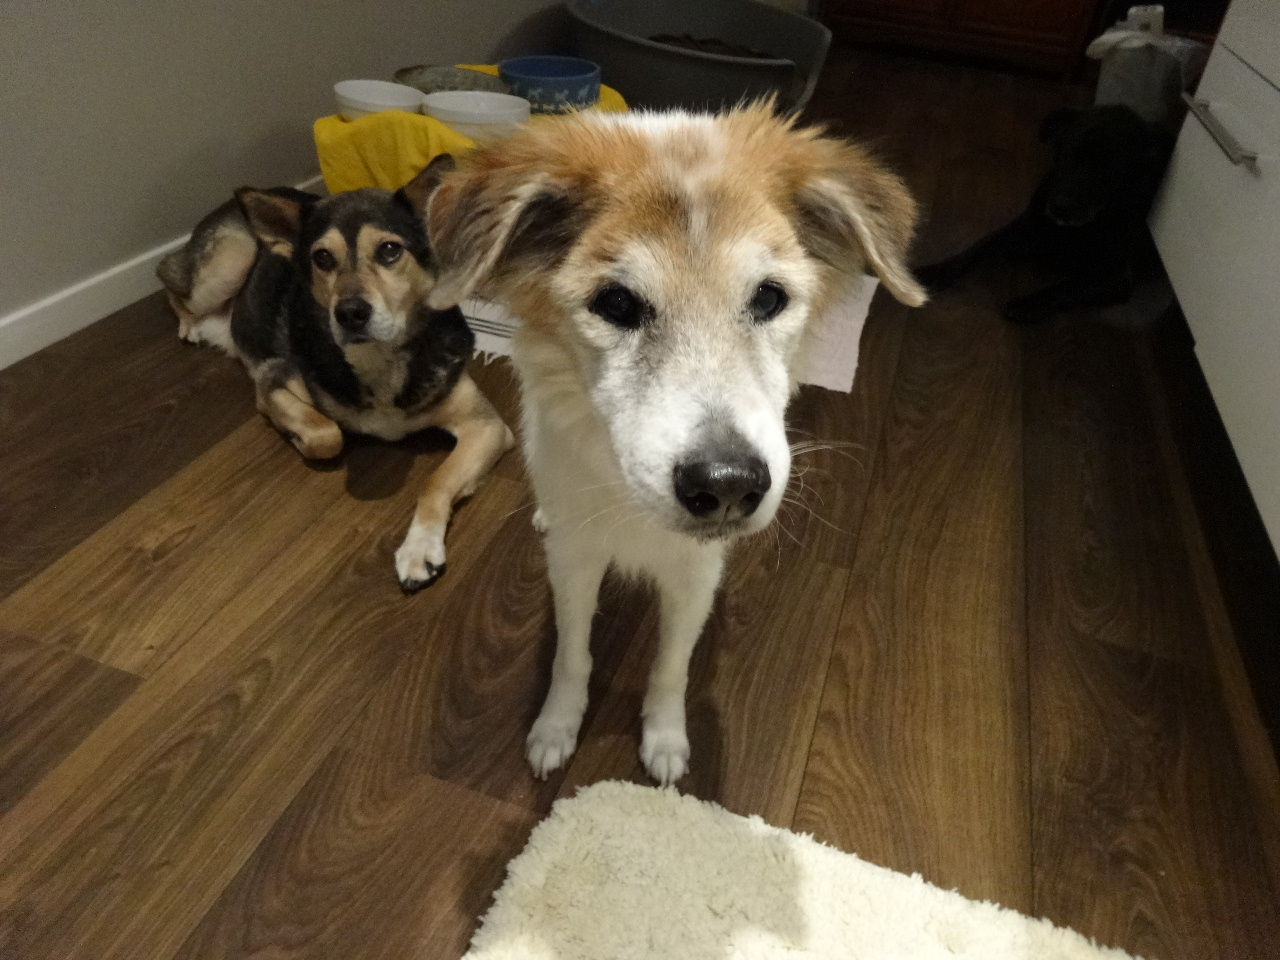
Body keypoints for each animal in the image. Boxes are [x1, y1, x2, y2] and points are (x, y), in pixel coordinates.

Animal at [157, 158, 514, 592]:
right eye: (322, 258)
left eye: (390, 250)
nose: (350, 313)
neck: (377, 358)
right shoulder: (273, 381)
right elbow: (327, 435)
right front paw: (296, 437)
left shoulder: (486, 426)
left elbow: (436, 481)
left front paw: (419, 547)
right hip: (229, 258)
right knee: (169, 279)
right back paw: (189, 323)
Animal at [421, 103, 927, 783]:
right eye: (616, 303)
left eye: (769, 298)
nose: (728, 487)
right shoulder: (576, 564)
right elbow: (572, 656)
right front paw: (557, 727)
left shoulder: (694, 577)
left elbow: (670, 667)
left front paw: (664, 740)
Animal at [919, 105, 1174, 323]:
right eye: (1068, 152)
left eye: (1110, 169)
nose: (1060, 208)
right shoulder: (1025, 227)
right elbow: (977, 247)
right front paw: (932, 273)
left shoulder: (1116, 276)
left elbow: (1069, 285)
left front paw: (1027, 304)